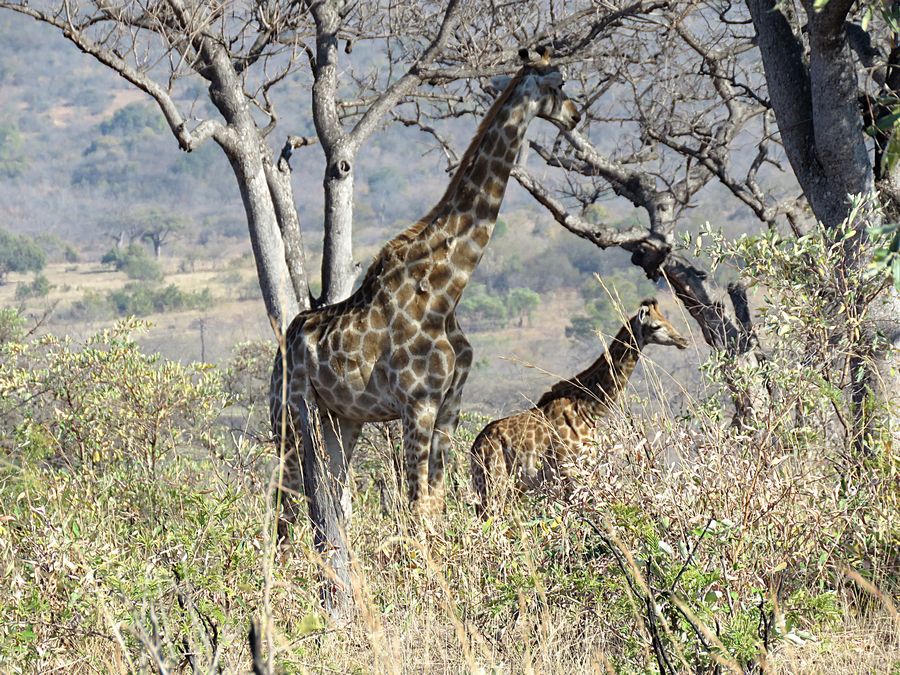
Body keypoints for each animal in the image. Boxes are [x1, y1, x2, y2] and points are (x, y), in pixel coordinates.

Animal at [270, 47, 580, 540]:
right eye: (558, 82)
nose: (575, 113)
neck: (447, 289)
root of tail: (279, 353)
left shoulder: (450, 404)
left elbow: (434, 503)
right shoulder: (418, 403)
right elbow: (417, 506)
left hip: (343, 419)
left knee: (330, 500)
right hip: (291, 413)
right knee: (286, 504)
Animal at [470, 298, 689, 516]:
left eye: (668, 320)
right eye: (656, 325)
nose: (683, 341)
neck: (587, 406)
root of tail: (474, 450)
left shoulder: (584, 466)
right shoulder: (569, 469)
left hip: (508, 487)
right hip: (494, 482)